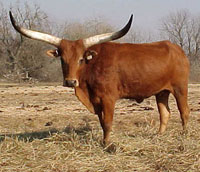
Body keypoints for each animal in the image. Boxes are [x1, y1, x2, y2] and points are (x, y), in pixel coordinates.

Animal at [9, 11, 191, 145]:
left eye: (81, 59)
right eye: (62, 59)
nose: (70, 81)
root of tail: (177, 49)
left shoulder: (108, 98)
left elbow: (108, 122)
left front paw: (107, 144)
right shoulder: (96, 101)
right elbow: (102, 123)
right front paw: (104, 141)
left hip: (180, 88)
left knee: (184, 112)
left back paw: (184, 135)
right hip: (161, 92)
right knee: (165, 113)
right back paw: (158, 136)